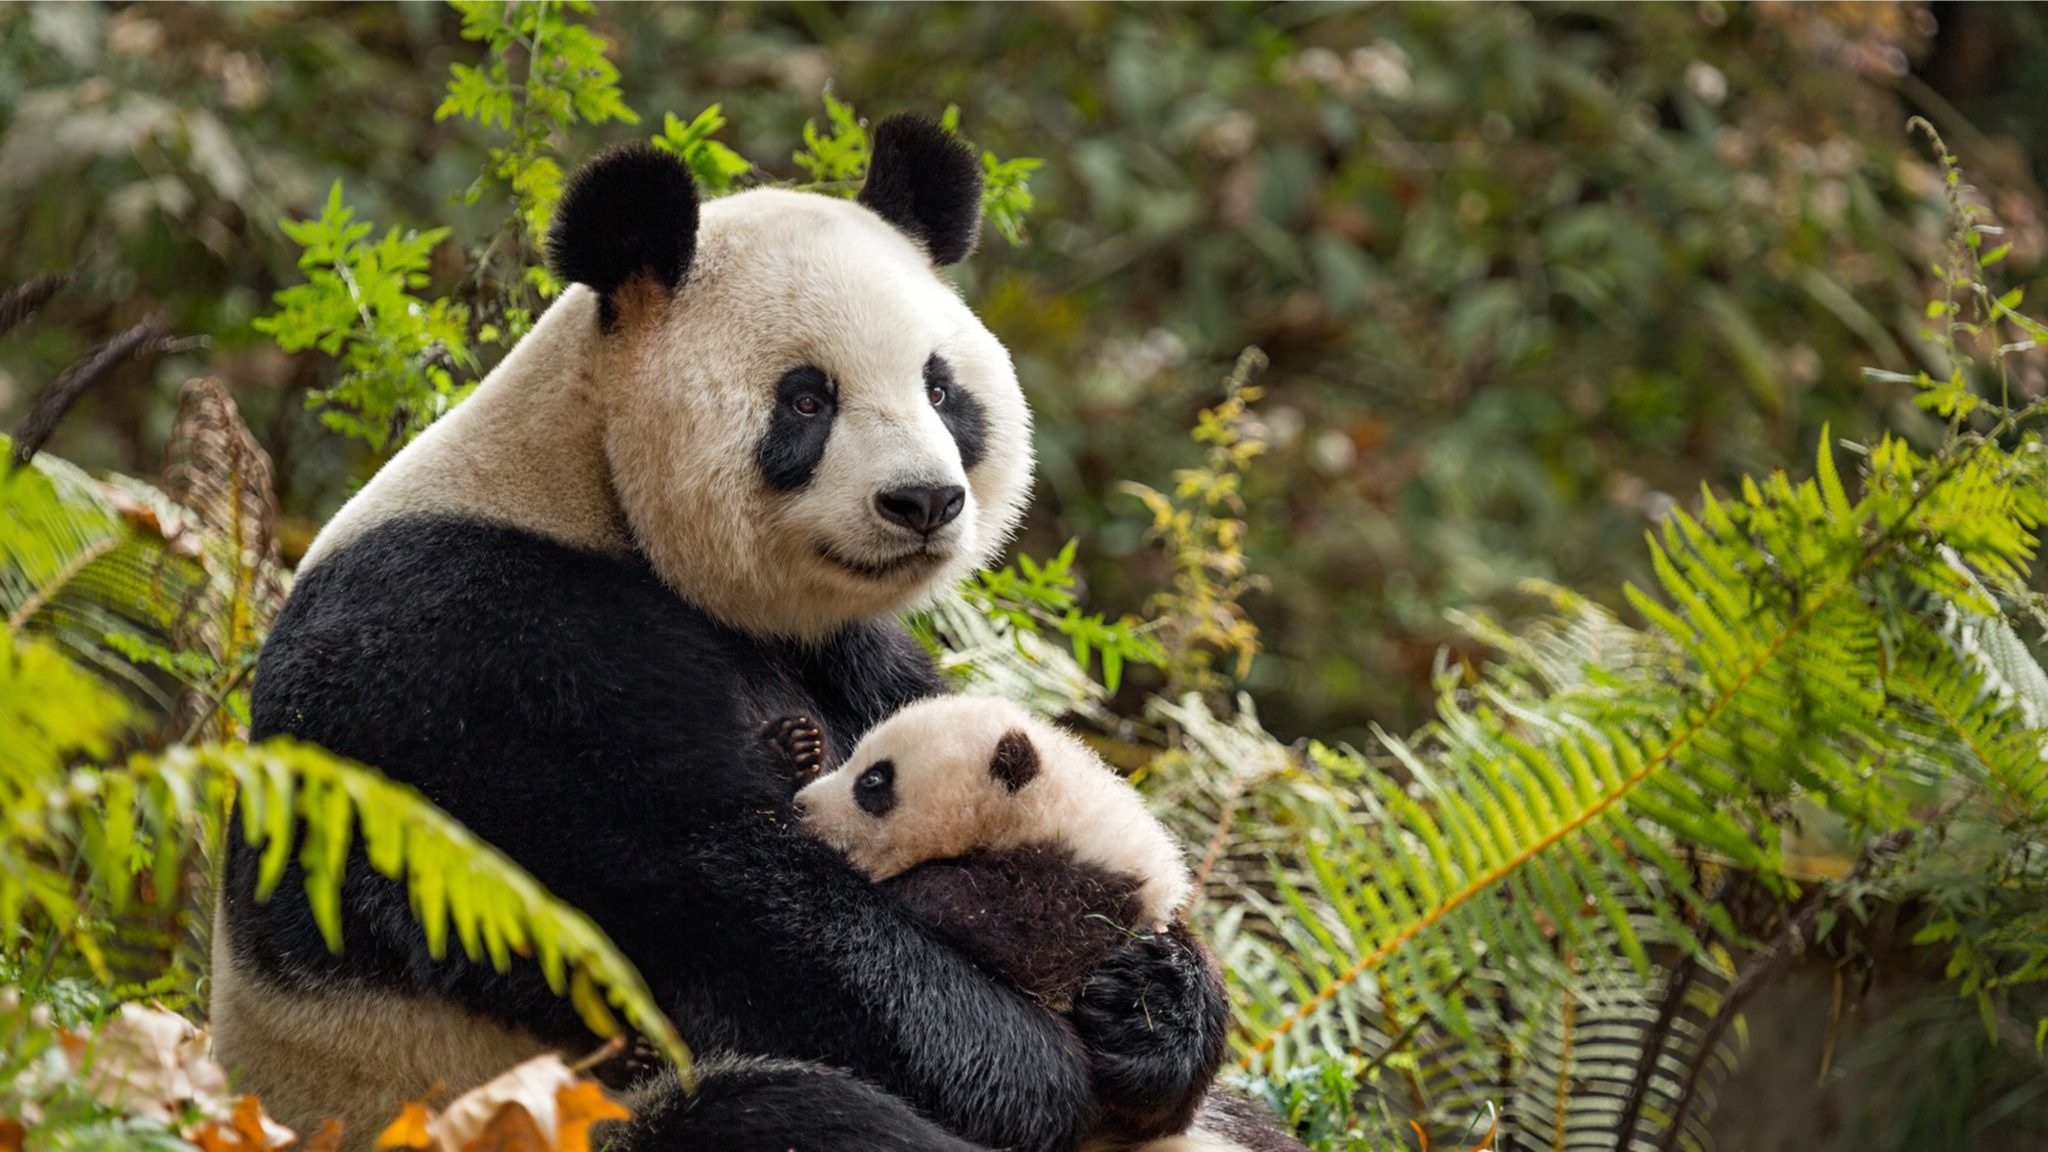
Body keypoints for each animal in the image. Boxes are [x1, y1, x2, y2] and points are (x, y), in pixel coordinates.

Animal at [209, 114, 1229, 1152]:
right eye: (808, 399)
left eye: (943, 390)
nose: (925, 501)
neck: (587, 486)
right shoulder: (472, 665)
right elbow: (706, 912)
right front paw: (1041, 1069)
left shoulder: (848, 653)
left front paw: (1152, 1012)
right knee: (775, 1111)